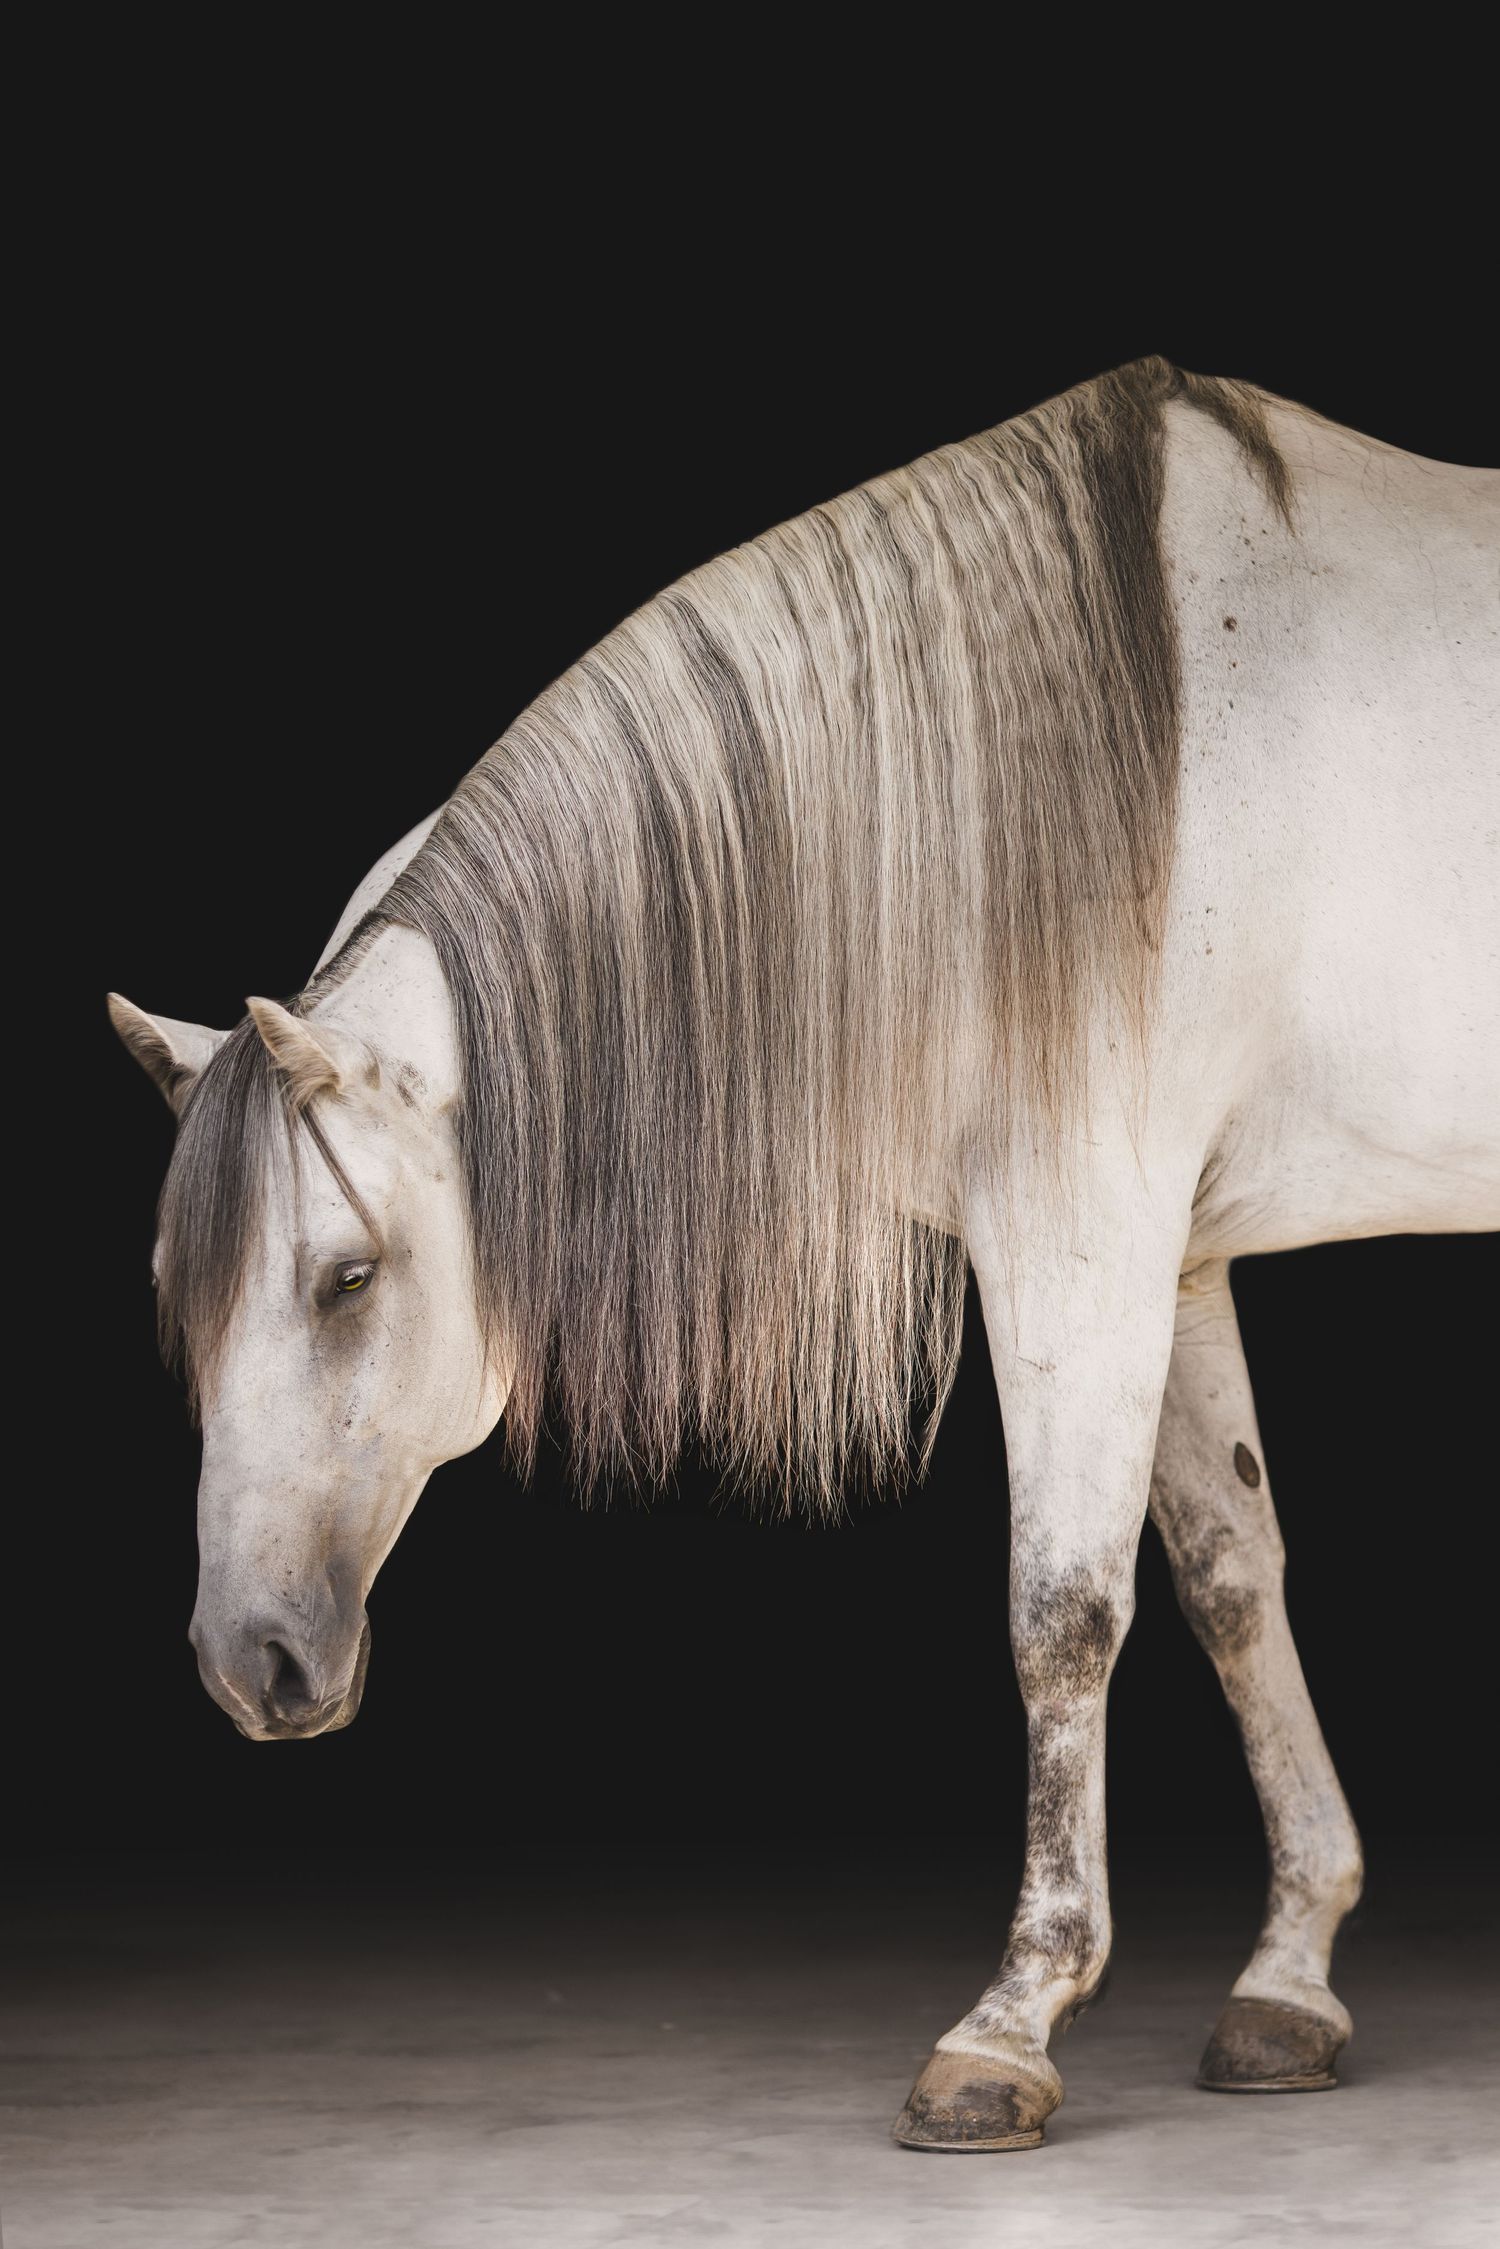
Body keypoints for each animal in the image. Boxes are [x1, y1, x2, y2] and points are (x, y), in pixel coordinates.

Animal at [109, 356, 1498, 2152]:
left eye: (347, 1276)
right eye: (181, 1310)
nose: (246, 1659)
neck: (1036, 783)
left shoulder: (1083, 1234)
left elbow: (1064, 1608)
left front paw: (1011, 2019)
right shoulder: (1175, 1254)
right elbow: (1230, 1578)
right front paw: (1289, 1976)